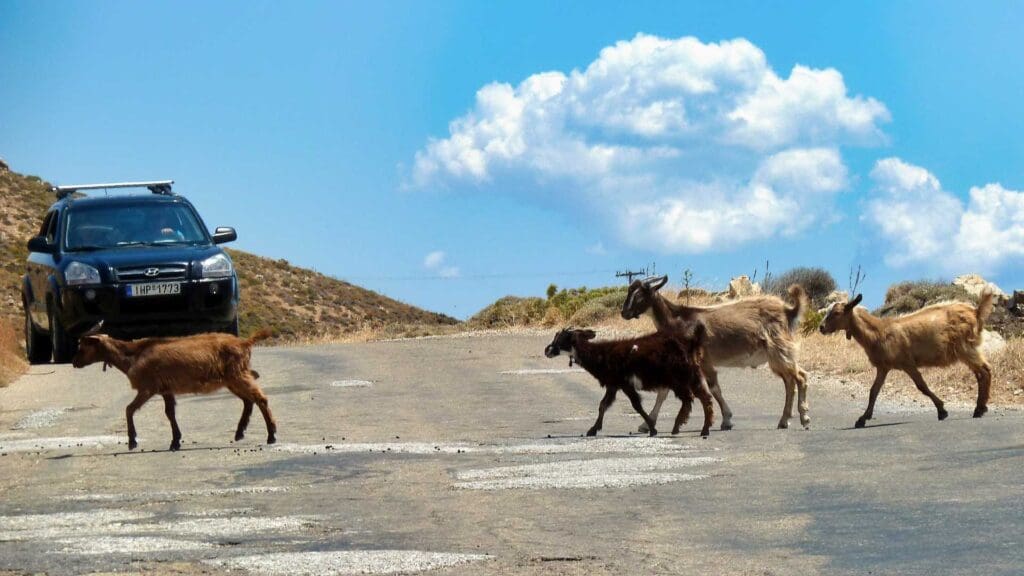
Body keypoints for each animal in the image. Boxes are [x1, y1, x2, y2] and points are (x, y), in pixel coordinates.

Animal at [71, 326, 277, 451]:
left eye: (83, 346)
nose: (74, 362)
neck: (134, 355)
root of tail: (245, 343)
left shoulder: (148, 387)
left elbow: (129, 409)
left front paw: (132, 441)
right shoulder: (166, 389)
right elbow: (170, 413)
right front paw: (175, 441)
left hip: (237, 375)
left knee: (260, 398)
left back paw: (271, 435)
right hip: (232, 379)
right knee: (248, 400)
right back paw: (240, 432)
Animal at [544, 325, 715, 437]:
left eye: (562, 339)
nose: (547, 350)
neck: (602, 354)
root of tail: (692, 342)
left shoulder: (625, 383)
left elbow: (636, 405)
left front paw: (652, 429)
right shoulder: (613, 384)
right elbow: (603, 405)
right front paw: (593, 429)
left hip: (680, 377)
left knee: (693, 398)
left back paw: (694, 428)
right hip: (688, 376)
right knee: (699, 398)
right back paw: (692, 427)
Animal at [621, 275, 809, 430]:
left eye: (640, 295)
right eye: (630, 291)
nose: (624, 313)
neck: (679, 319)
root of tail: (788, 311)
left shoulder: (703, 361)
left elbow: (713, 388)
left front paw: (727, 420)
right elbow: (664, 392)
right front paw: (646, 424)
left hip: (778, 350)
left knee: (800, 378)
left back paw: (804, 418)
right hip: (777, 355)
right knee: (791, 380)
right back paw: (784, 420)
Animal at [819, 292, 994, 428]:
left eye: (836, 313)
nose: (821, 327)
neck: (879, 332)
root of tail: (975, 311)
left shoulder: (907, 363)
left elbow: (922, 386)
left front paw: (942, 411)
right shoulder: (883, 367)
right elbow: (873, 391)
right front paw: (862, 419)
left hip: (965, 347)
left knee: (985, 370)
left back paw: (979, 409)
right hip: (966, 349)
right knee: (980, 374)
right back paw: (981, 407)